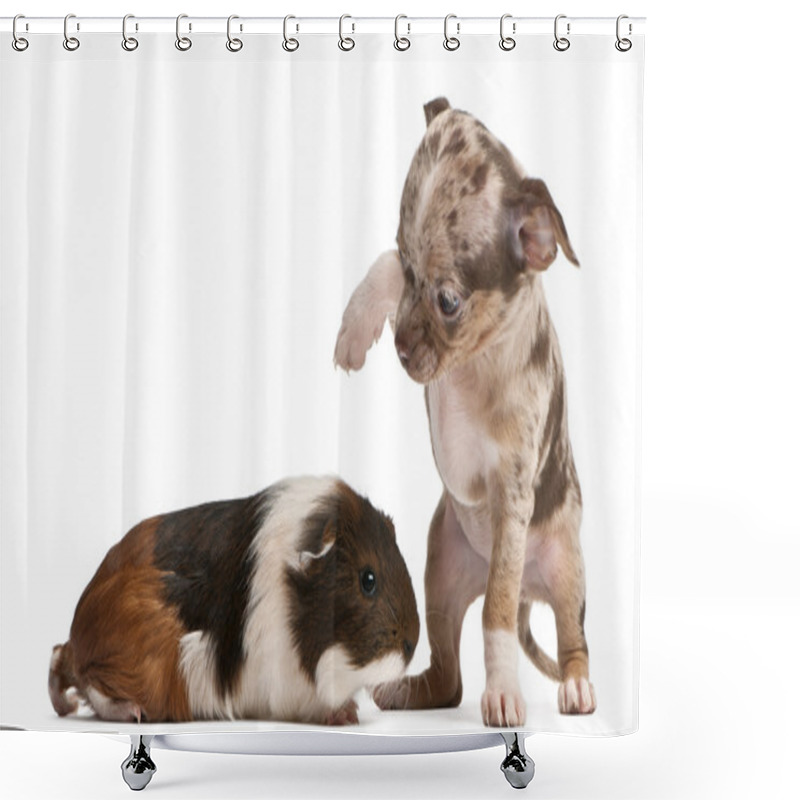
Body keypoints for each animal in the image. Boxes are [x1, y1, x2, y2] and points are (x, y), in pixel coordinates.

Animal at [334, 98, 596, 724]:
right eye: (409, 268)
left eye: (448, 300)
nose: (400, 347)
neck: (475, 361)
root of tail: (533, 589)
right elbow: (380, 265)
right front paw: (356, 326)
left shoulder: (512, 492)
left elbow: (495, 615)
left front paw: (502, 691)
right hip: (440, 569)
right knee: (447, 674)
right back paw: (406, 690)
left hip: (567, 569)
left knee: (569, 638)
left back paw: (577, 687)